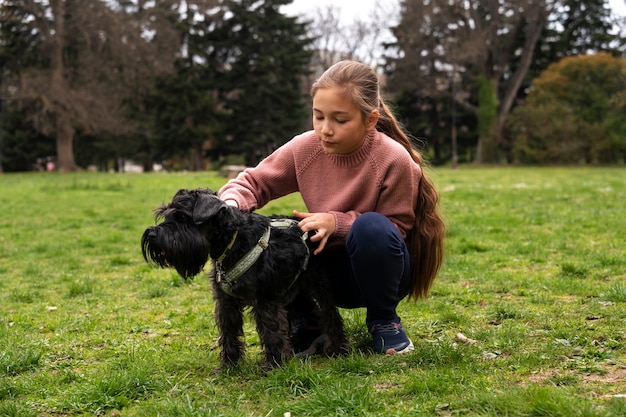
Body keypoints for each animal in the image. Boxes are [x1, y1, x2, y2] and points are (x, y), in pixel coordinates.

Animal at [141, 188, 346, 368]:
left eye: (182, 217)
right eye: (166, 215)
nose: (152, 234)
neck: (232, 241)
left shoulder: (265, 300)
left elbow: (272, 332)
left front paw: (274, 365)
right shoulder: (226, 303)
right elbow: (228, 333)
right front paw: (229, 366)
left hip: (317, 286)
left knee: (329, 315)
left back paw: (337, 350)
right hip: (293, 293)